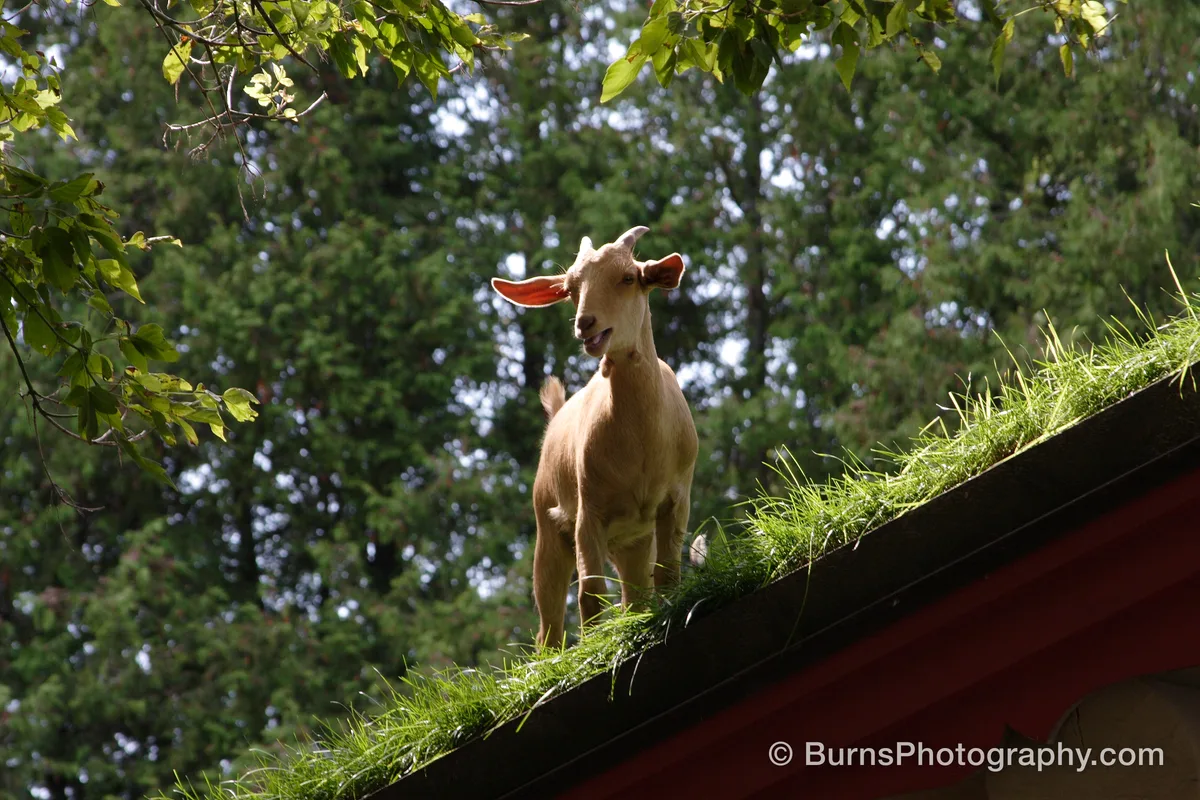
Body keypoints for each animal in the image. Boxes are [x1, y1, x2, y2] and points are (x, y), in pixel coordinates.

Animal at [491, 226, 699, 647]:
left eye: (629, 277)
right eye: (571, 288)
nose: (585, 323)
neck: (642, 445)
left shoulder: (676, 499)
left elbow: (667, 575)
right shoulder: (591, 510)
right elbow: (590, 593)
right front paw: (593, 645)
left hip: (633, 540)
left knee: (635, 595)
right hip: (550, 530)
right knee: (549, 623)